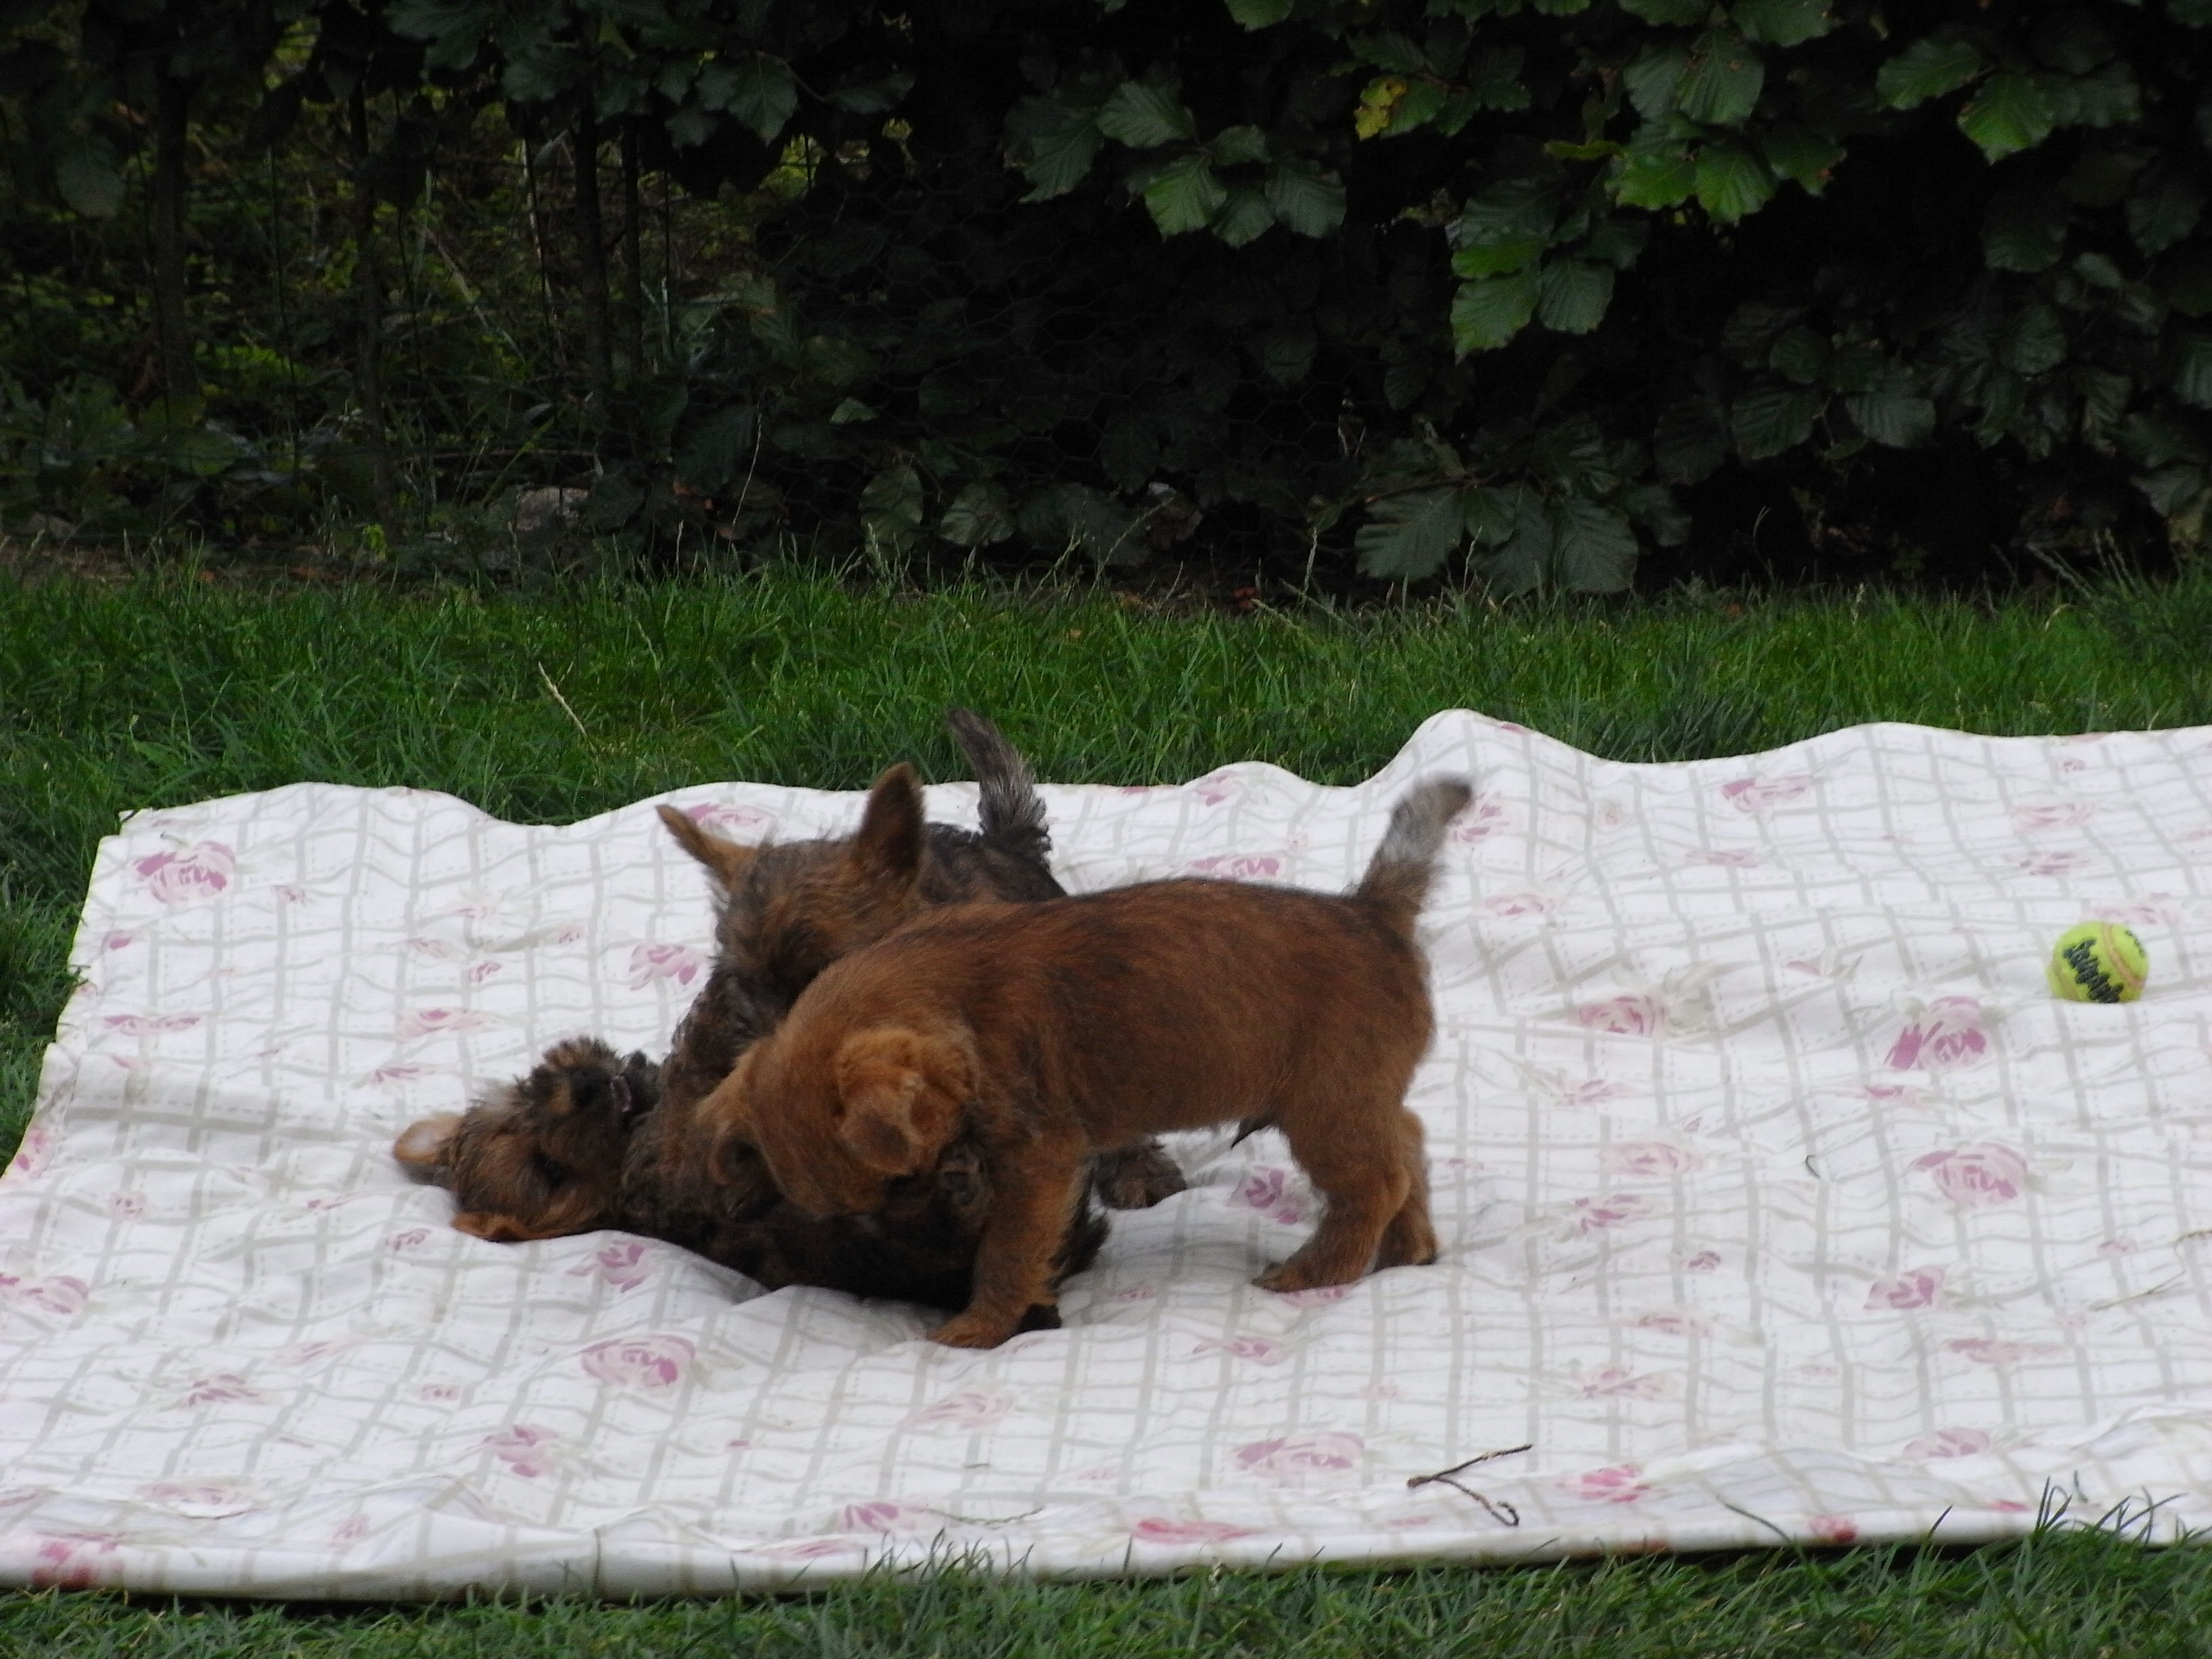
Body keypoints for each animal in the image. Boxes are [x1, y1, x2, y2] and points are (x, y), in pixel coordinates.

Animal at [697, 774, 1472, 1348]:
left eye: (905, 1182)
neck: (955, 1003)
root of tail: (1373, 912)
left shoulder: (1037, 1166)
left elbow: (1006, 1255)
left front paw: (973, 1330)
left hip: (1325, 1111)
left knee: (1373, 1186)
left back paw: (1311, 1274)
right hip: (1353, 1102)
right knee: (1408, 1149)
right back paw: (1409, 1253)